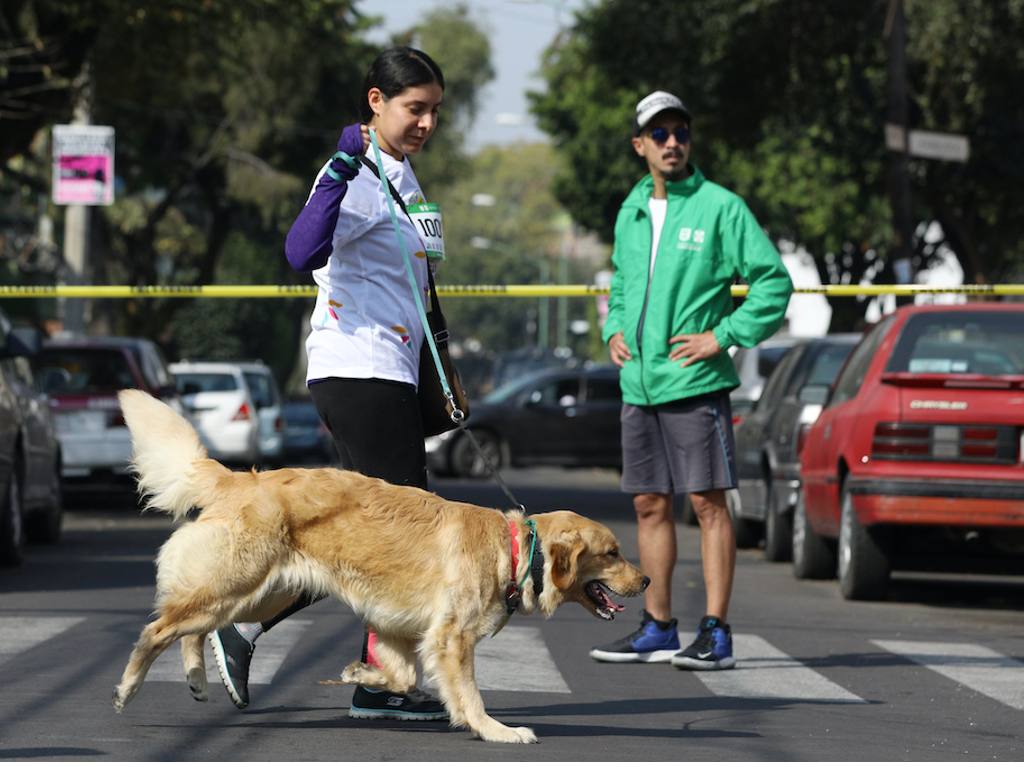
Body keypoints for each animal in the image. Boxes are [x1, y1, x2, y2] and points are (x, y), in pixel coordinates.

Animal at [112, 389, 647, 741]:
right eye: (613, 552)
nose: (644, 579)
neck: (513, 549)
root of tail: (241, 478)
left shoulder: (399, 630)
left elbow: (404, 677)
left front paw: (360, 676)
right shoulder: (451, 638)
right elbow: (470, 694)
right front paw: (495, 730)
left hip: (257, 589)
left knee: (196, 629)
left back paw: (199, 677)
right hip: (242, 583)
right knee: (158, 629)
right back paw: (129, 686)